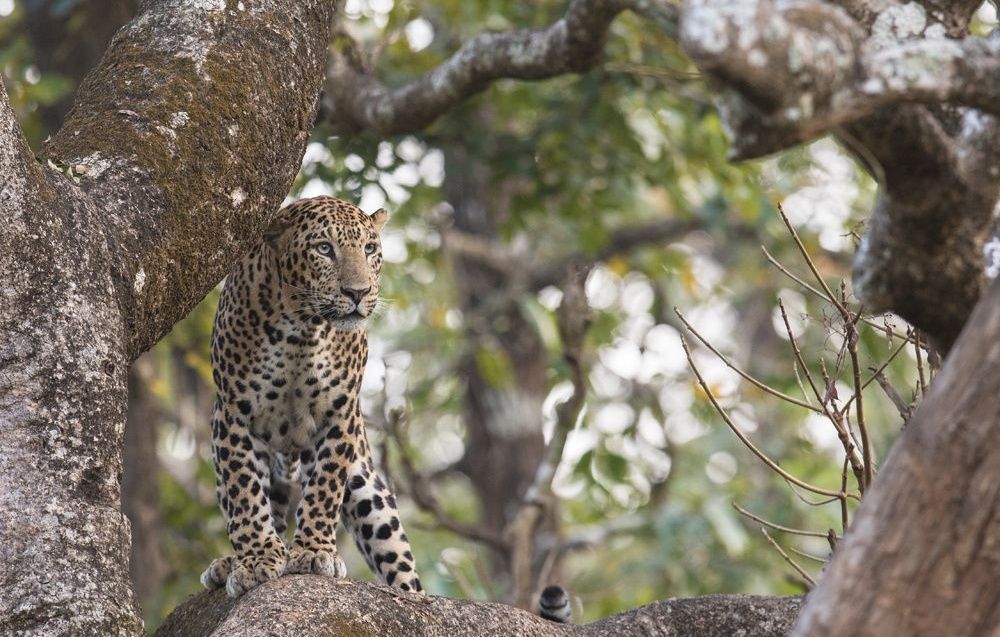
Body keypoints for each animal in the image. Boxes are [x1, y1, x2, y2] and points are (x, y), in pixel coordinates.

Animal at [198, 196, 422, 597]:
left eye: (369, 249)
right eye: (324, 249)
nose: (358, 293)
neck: (300, 331)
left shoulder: (340, 414)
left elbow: (324, 486)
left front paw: (315, 552)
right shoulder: (232, 415)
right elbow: (245, 494)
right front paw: (256, 559)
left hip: (368, 487)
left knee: (400, 563)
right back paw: (231, 562)